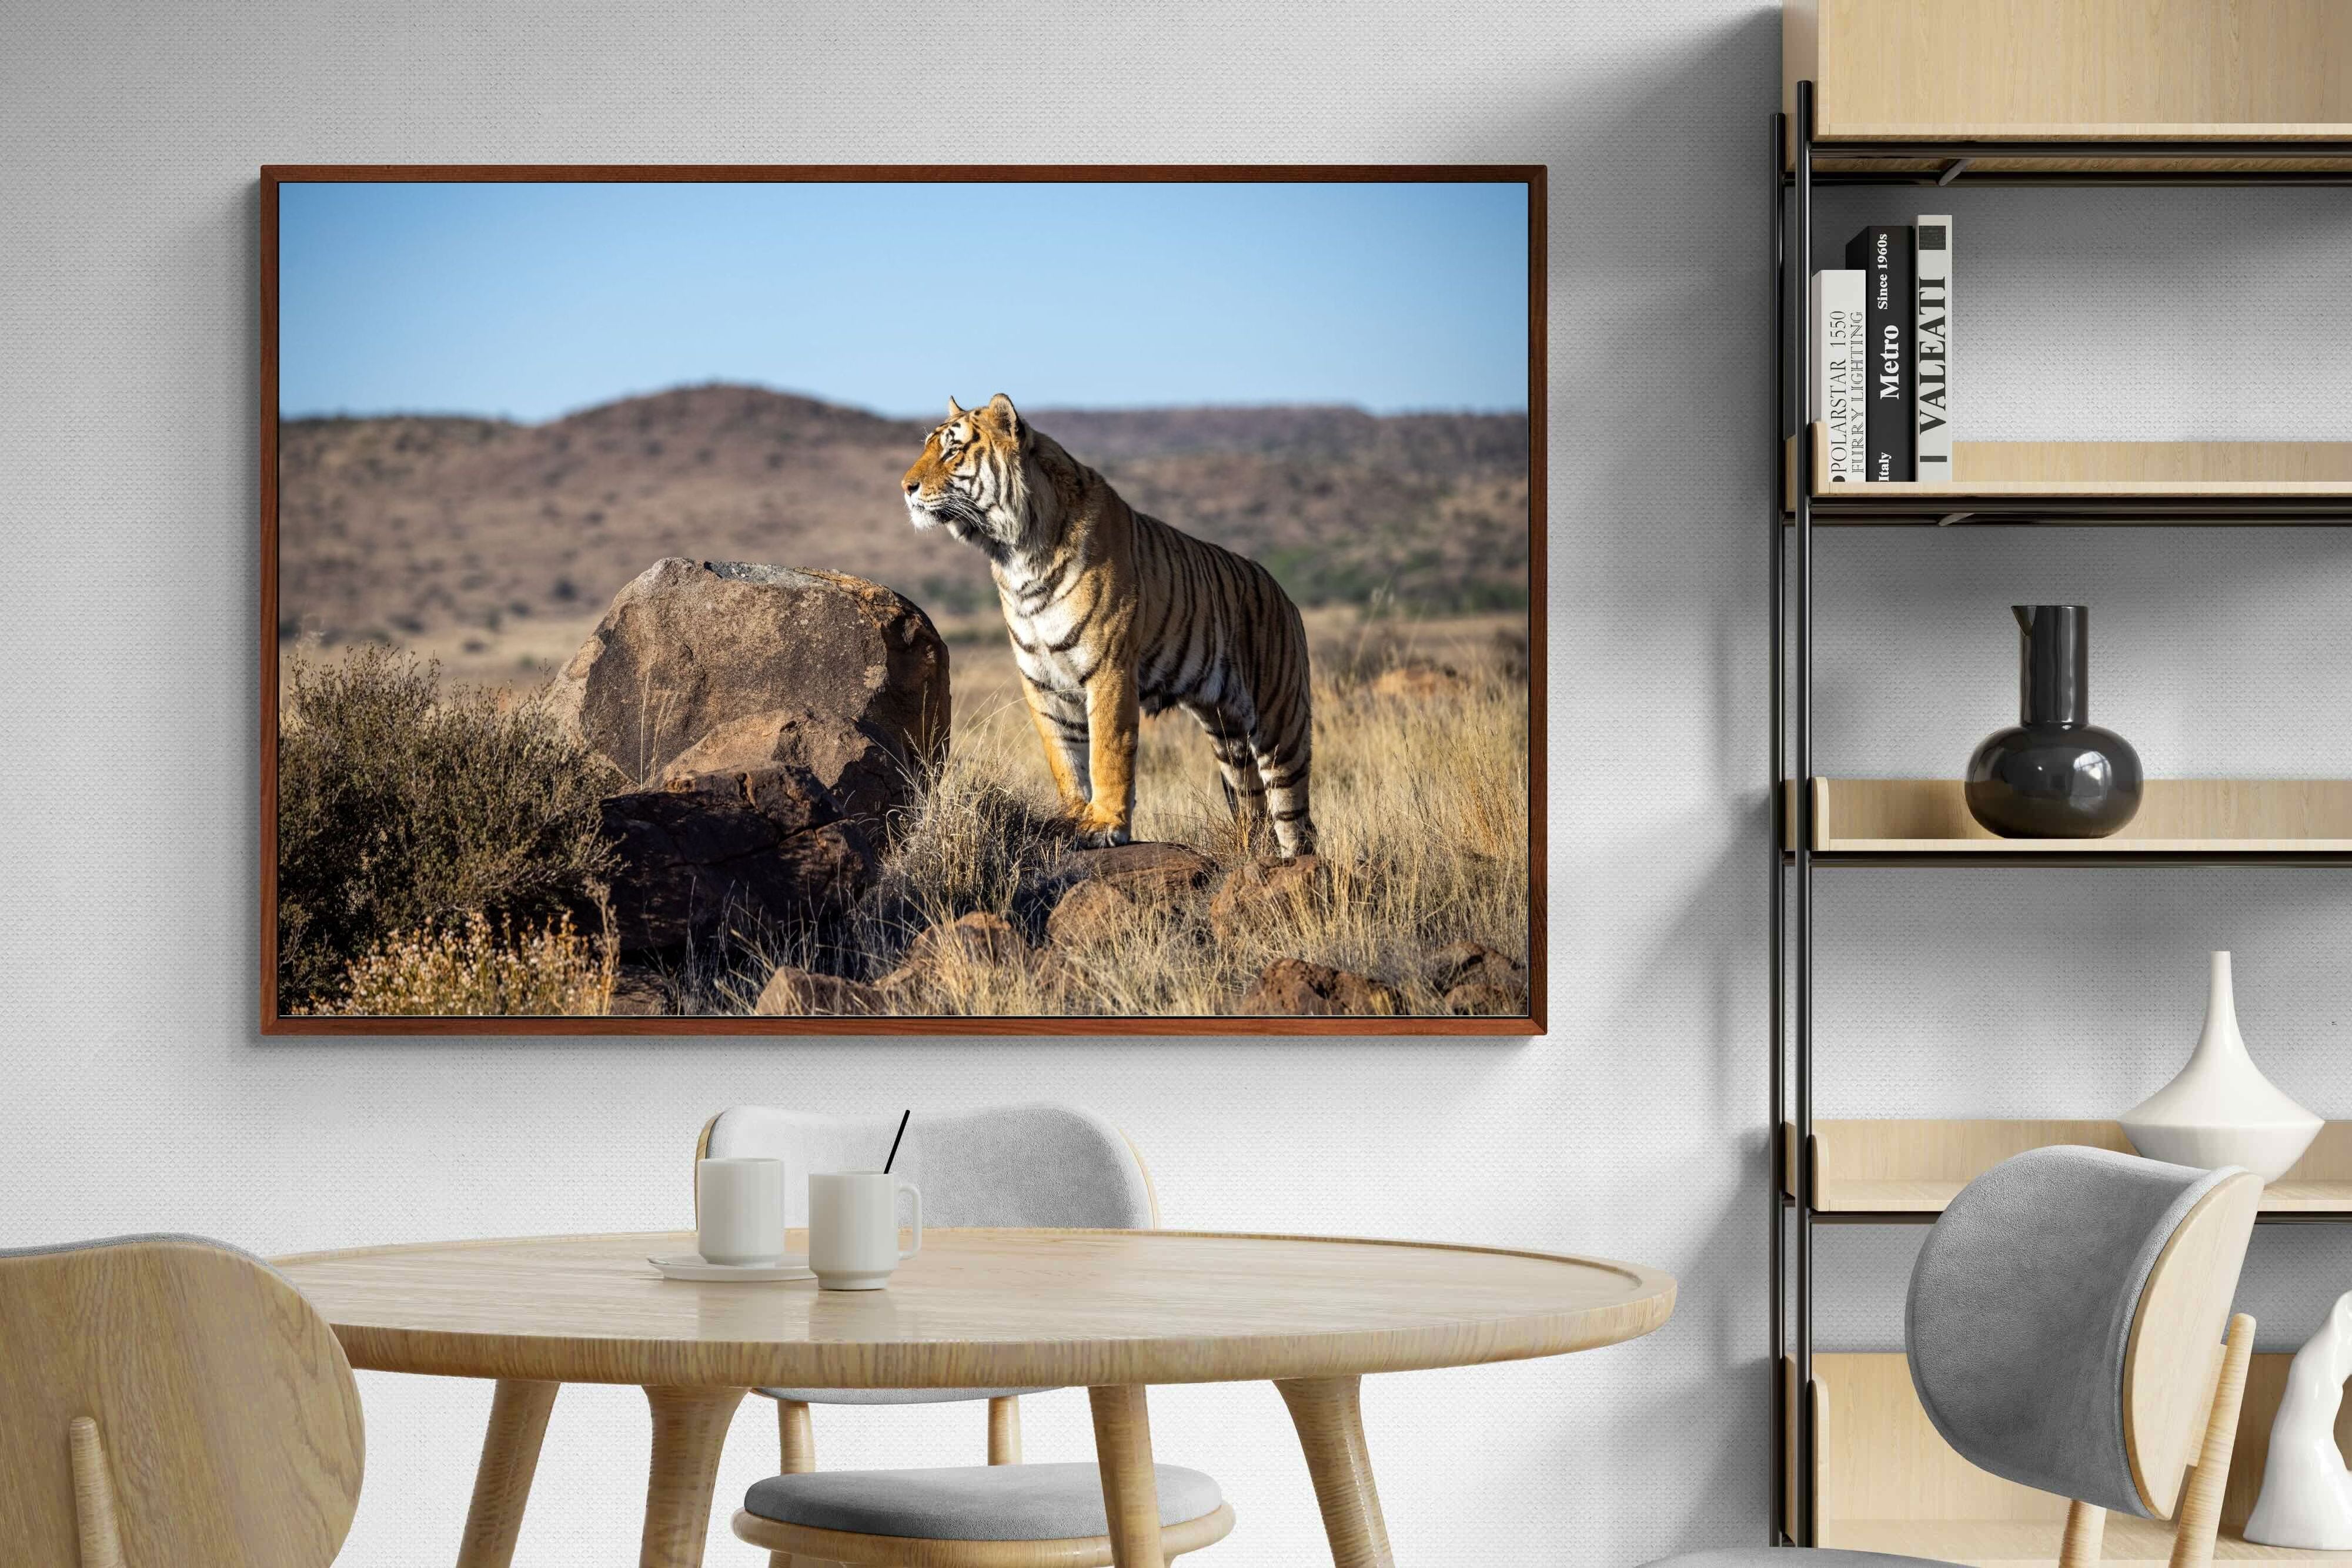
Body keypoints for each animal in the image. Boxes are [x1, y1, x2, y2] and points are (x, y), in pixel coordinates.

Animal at [901, 393, 1316, 858]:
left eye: (952, 450)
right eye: (928, 446)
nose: (906, 487)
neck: (1015, 555)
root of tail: (1284, 594)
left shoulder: (1109, 669)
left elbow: (1107, 752)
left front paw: (1105, 825)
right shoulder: (1042, 680)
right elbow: (1064, 757)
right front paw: (1072, 818)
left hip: (1280, 724)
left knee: (1296, 819)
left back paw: (1297, 863)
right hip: (1229, 739)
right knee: (1254, 809)